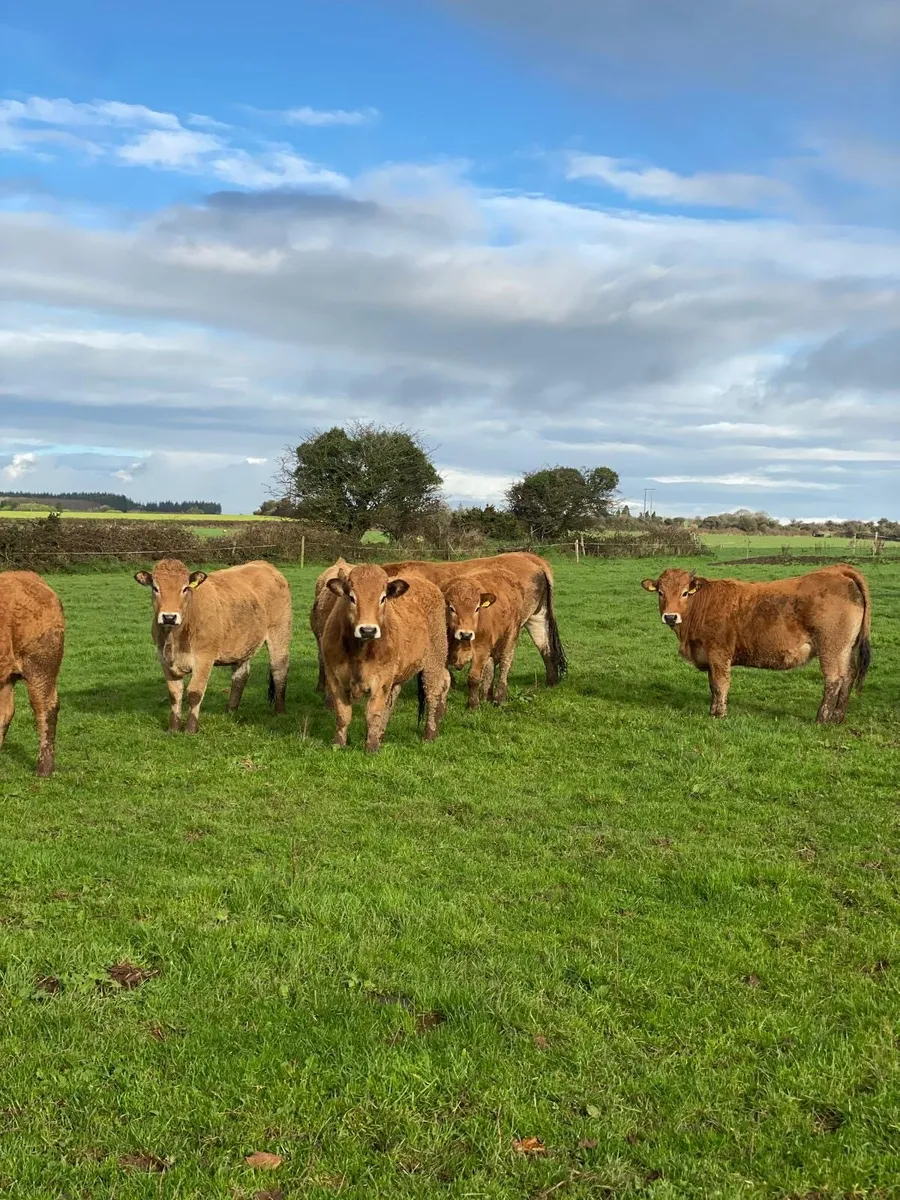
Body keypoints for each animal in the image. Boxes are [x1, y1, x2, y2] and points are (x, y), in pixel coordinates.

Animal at [135, 558, 292, 733]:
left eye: (185, 588)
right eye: (155, 588)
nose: (169, 617)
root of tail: (264, 564)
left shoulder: (204, 659)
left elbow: (194, 693)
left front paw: (190, 729)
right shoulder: (164, 659)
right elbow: (174, 694)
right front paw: (173, 729)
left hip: (279, 633)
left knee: (279, 670)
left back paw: (279, 711)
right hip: (243, 644)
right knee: (240, 676)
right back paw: (231, 711)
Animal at [321, 564, 450, 752]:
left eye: (383, 598)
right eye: (352, 597)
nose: (368, 630)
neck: (359, 653)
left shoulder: (381, 680)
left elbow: (373, 713)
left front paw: (371, 747)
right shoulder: (335, 678)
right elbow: (343, 714)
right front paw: (338, 744)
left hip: (434, 661)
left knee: (434, 692)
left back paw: (430, 734)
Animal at [442, 566, 566, 708]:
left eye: (477, 608)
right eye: (451, 608)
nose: (466, 634)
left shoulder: (481, 650)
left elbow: (473, 678)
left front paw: (473, 705)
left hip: (515, 631)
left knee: (505, 663)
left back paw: (499, 697)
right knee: (490, 667)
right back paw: (486, 696)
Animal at [641, 565, 871, 723]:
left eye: (684, 593)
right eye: (660, 592)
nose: (670, 617)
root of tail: (837, 571)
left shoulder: (718, 653)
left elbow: (721, 684)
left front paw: (719, 714)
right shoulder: (709, 656)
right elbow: (713, 685)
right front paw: (712, 710)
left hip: (831, 649)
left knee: (834, 679)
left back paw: (821, 719)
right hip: (846, 649)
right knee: (848, 676)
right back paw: (837, 717)